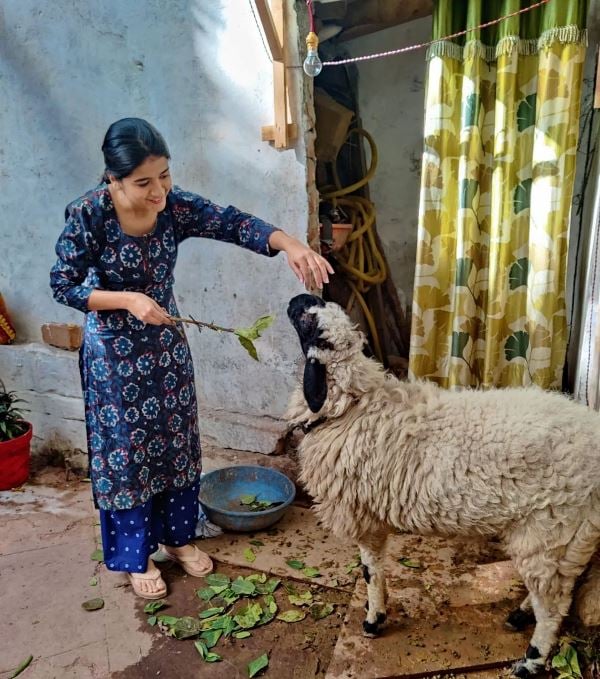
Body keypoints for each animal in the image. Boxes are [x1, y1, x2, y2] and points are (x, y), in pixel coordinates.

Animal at [286, 293, 600, 678]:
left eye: (309, 323)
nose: (297, 298)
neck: (352, 406)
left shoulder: (364, 518)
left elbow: (370, 571)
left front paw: (374, 620)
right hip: (561, 539)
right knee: (552, 591)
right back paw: (519, 615)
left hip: (552, 528)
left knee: (554, 607)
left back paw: (530, 659)